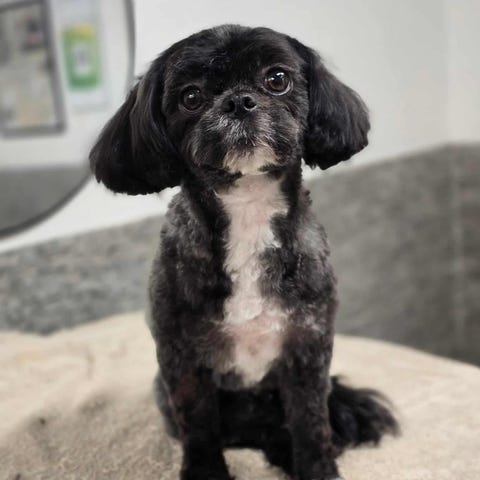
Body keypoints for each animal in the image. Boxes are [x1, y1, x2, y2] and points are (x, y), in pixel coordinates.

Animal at [90, 25, 397, 480]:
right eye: (191, 96)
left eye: (277, 78)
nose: (239, 101)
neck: (248, 213)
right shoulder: (183, 359)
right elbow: (199, 426)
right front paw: (205, 473)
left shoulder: (308, 350)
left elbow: (311, 424)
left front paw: (318, 468)